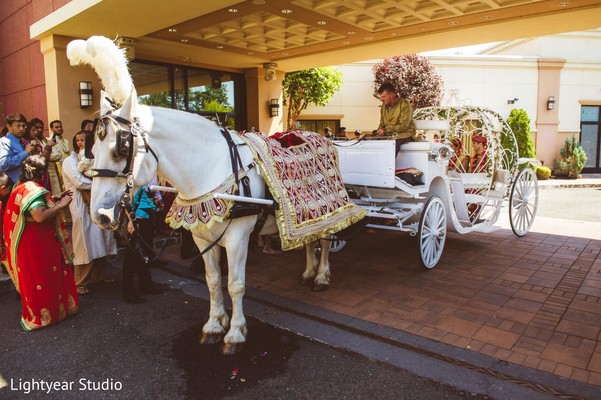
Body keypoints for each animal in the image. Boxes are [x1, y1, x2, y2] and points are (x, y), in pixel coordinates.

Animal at [69, 36, 338, 354]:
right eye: (91, 150)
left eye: (121, 149)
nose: (100, 214)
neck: (209, 168)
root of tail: (315, 135)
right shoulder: (200, 236)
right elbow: (211, 281)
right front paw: (213, 325)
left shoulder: (237, 239)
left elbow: (235, 283)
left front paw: (235, 333)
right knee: (308, 241)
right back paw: (308, 272)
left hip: (325, 210)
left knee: (324, 240)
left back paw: (320, 276)